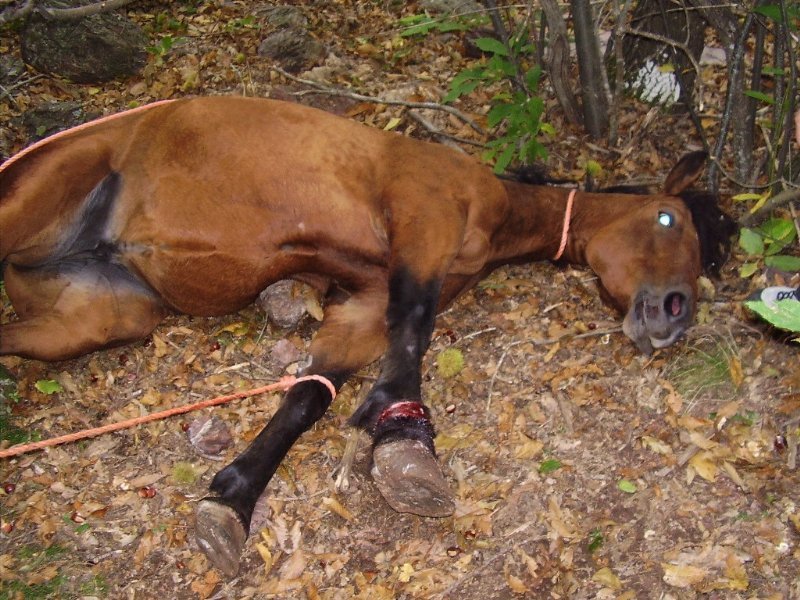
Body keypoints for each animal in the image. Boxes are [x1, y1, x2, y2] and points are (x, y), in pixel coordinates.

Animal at [0, 96, 734, 576]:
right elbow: (414, 328)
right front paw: (407, 441)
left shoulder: (364, 304)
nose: (673, 317)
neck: (495, 206)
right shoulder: (422, 219)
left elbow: (309, 394)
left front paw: (234, 497)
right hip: (32, 204)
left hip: (98, 319)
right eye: (667, 218)